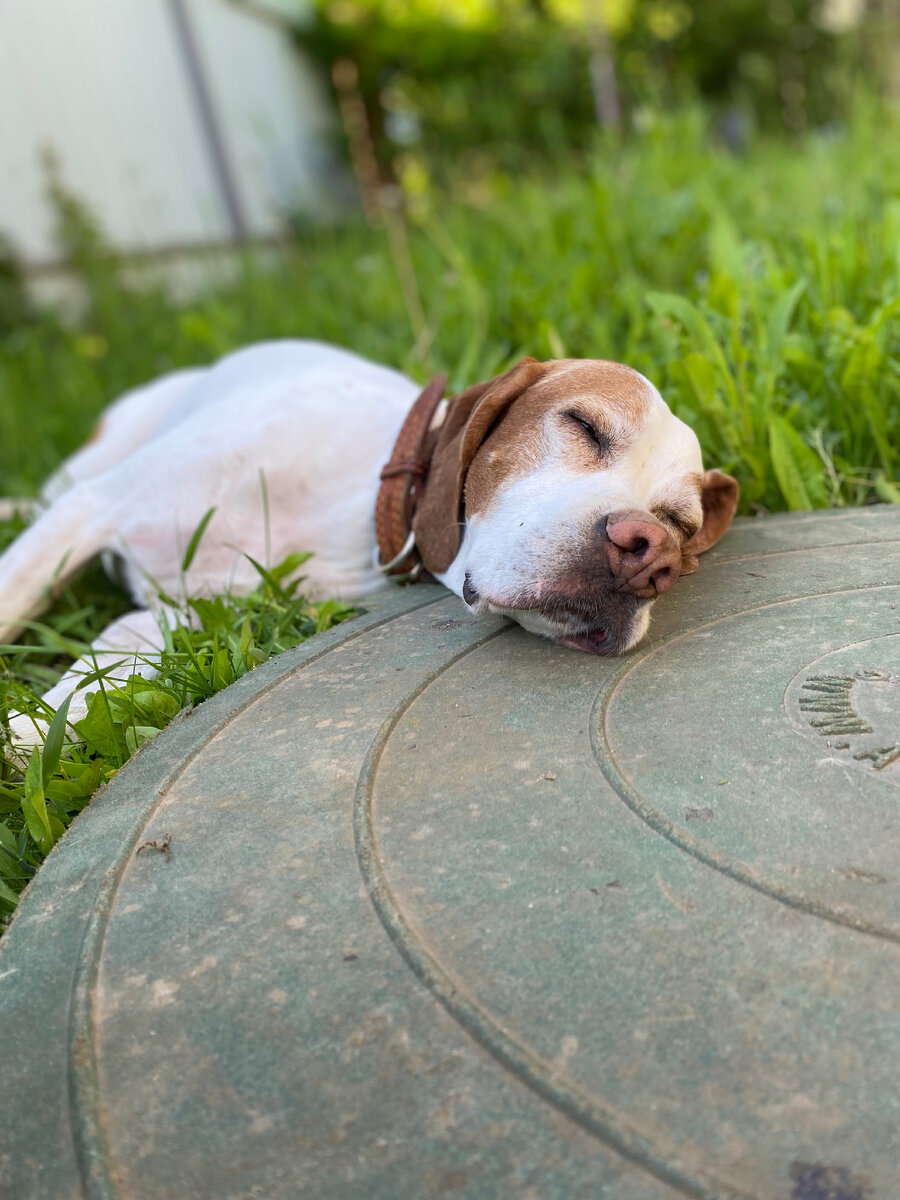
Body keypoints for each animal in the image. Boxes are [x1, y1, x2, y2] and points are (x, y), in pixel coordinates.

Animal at [0, 340, 739, 739]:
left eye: (680, 526)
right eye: (583, 425)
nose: (647, 555)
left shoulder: (167, 618)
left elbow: (79, 692)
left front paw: (24, 737)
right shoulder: (92, 510)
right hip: (86, 471)